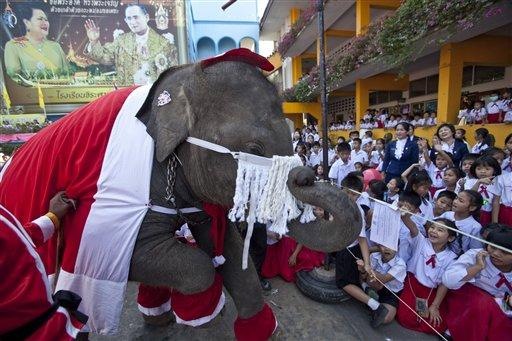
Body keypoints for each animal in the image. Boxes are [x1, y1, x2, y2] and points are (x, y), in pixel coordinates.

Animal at [0, 47, 362, 338]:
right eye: (253, 149)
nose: (305, 175)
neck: (181, 78)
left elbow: (228, 250)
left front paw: (259, 328)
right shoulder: (104, 209)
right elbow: (195, 265)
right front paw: (198, 303)